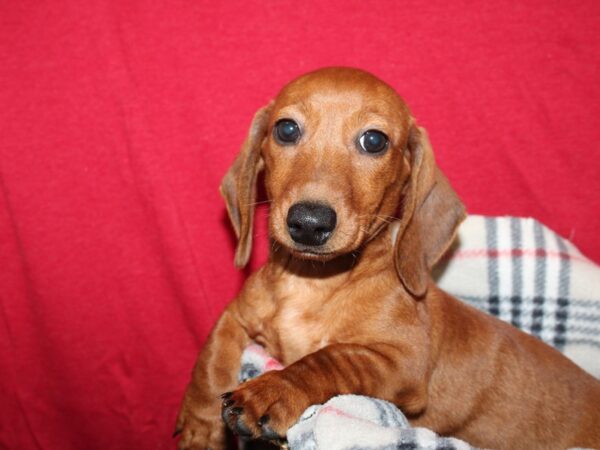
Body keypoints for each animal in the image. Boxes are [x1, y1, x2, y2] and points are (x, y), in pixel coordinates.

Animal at [173, 67, 600, 450]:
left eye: (374, 140)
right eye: (287, 130)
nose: (309, 223)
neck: (313, 283)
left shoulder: (401, 362)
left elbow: (330, 357)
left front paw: (275, 389)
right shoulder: (236, 316)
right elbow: (212, 359)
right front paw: (201, 427)